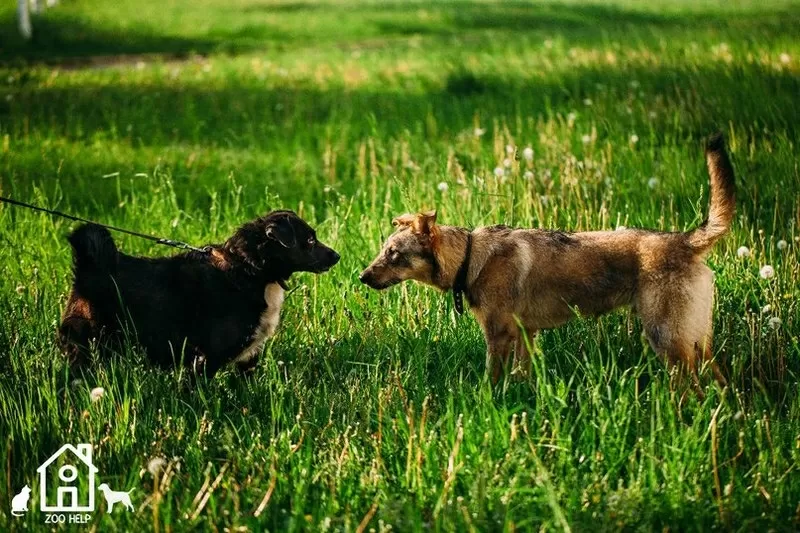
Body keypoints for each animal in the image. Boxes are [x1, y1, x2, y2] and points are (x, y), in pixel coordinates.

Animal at [59, 210, 340, 376]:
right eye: (310, 240)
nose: (337, 256)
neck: (250, 269)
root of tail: (91, 267)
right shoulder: (206, 358)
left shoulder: (247, 360)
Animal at [360, 133, 736, 386]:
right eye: (383, 250)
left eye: (394, 254)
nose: (361, 277)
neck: (470, 257)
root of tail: (686, 240)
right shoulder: (526, 336)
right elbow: (521, 378)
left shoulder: (498, 335)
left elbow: (491, 380)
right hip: (696, 340)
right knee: (718, 381)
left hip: (668, 339)